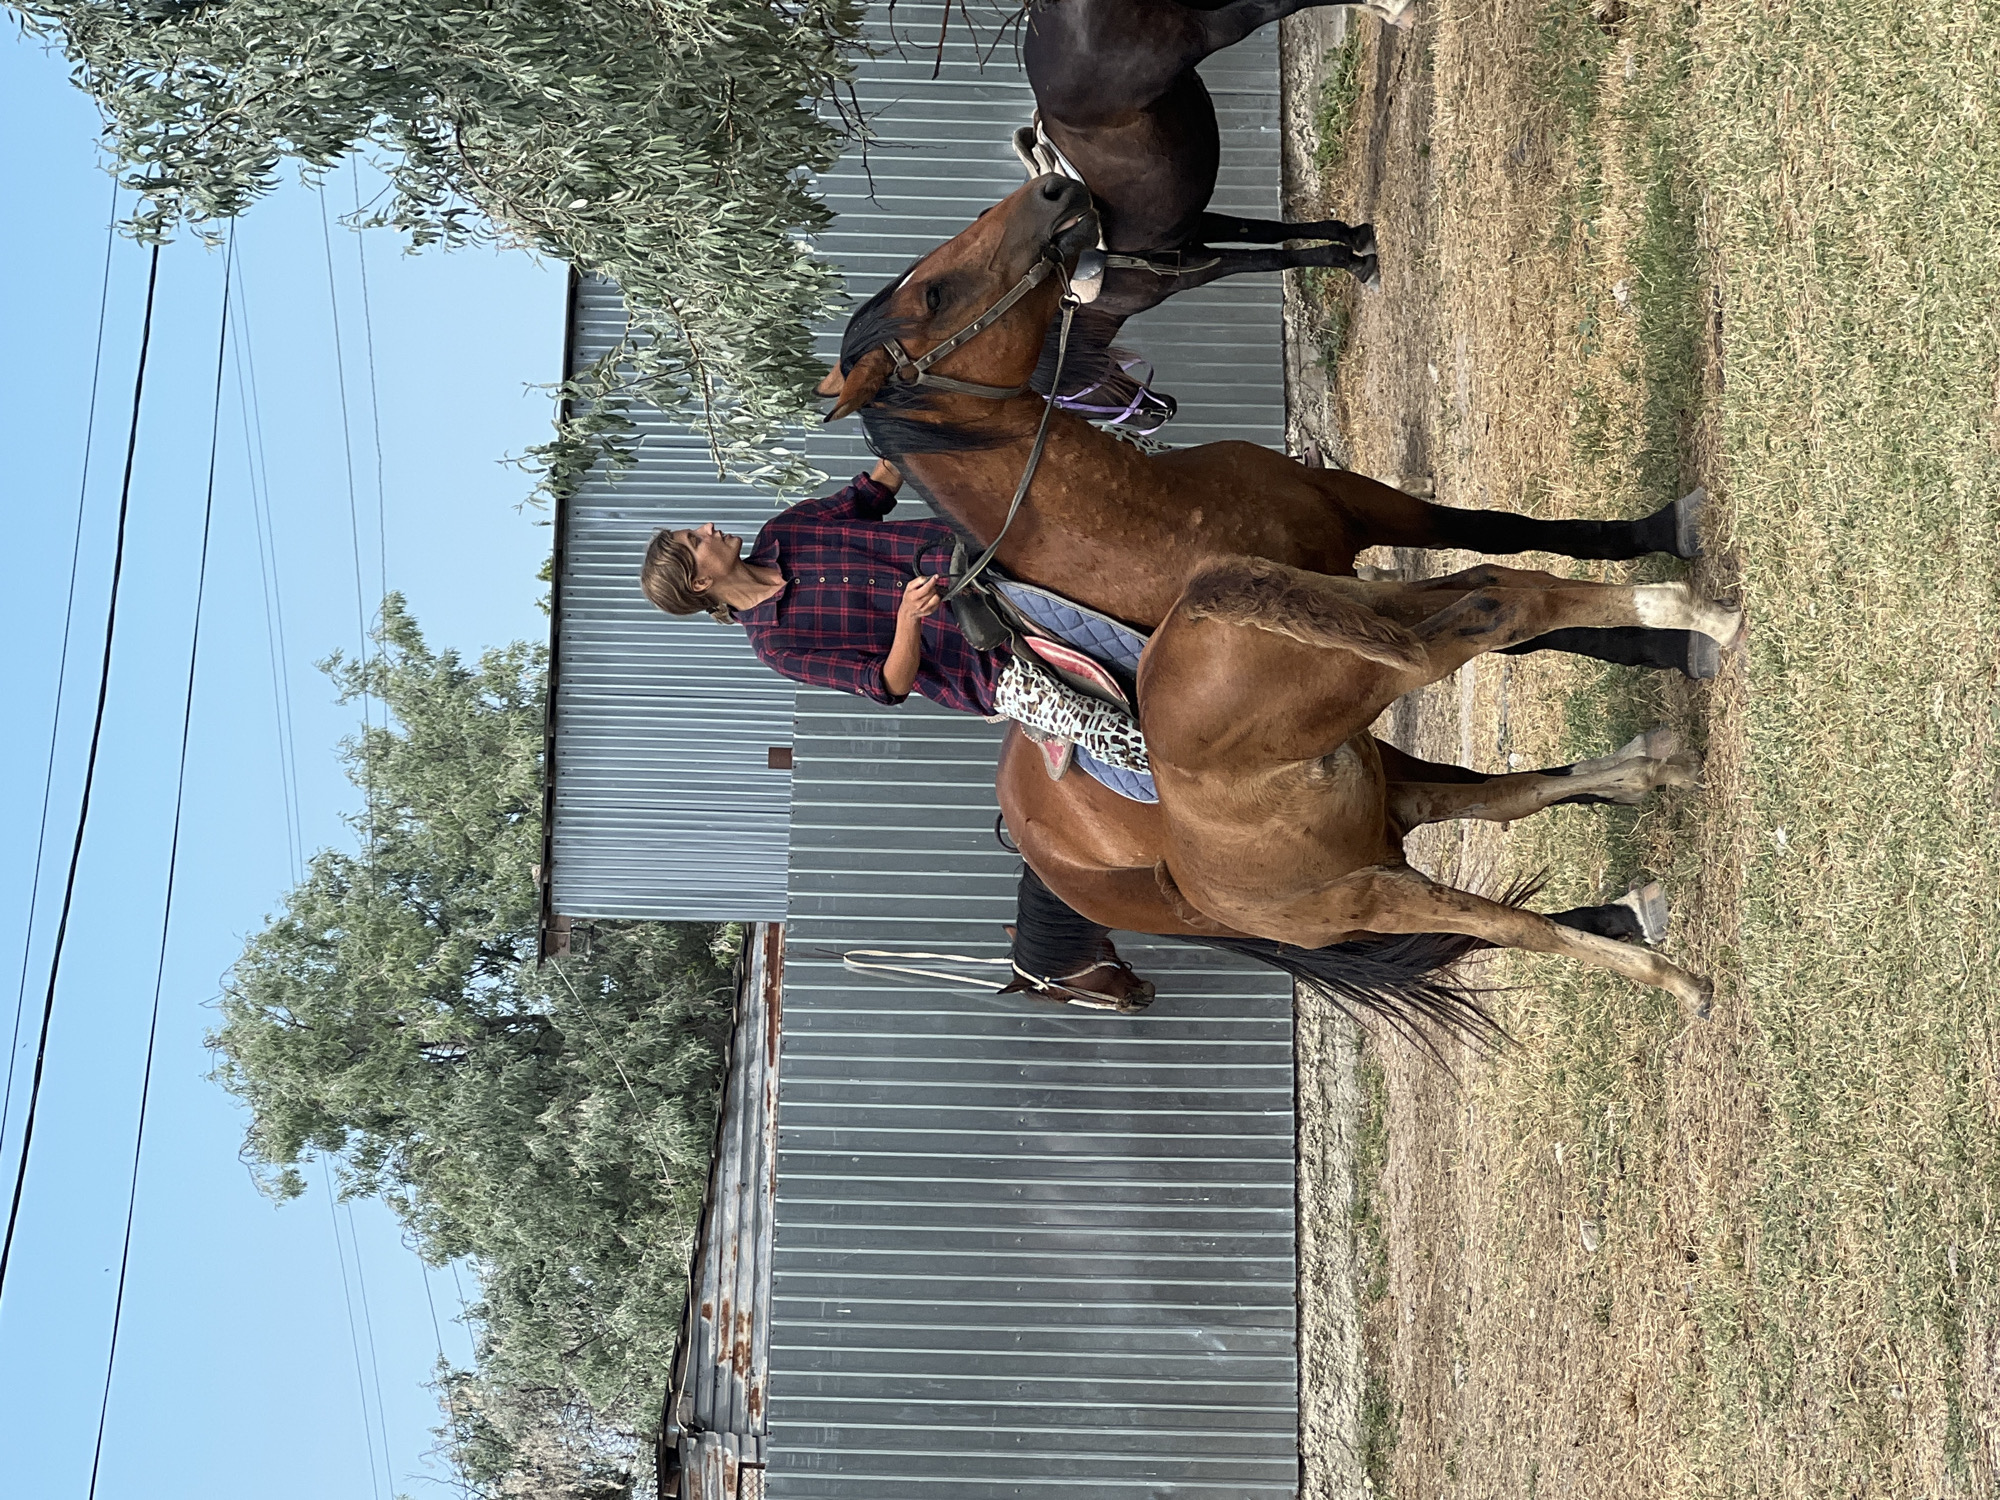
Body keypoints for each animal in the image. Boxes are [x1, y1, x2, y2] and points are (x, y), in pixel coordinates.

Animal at [822, 174, 1740, 1017]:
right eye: (936, 293)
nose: (1054, 189)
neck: (1150, 515)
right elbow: (1509, 592)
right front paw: (1672, 624)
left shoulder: (1347, 518)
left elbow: (1497, 533)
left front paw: (1663, 550)